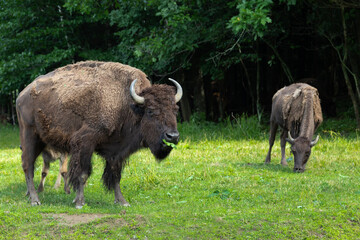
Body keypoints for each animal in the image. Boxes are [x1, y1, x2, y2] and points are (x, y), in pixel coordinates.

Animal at [16, 60, 183, 208]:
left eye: (175, 110)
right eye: (150, 111)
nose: (172, 137)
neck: (127, 105)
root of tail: (22, 95)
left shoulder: (116, 152)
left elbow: (115, 176)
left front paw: (122, 202)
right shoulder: (85, 143)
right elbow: (83, 174)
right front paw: (79, 202)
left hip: (41, 141)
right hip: (29, 136)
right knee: (28, 165)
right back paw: (35, 200)